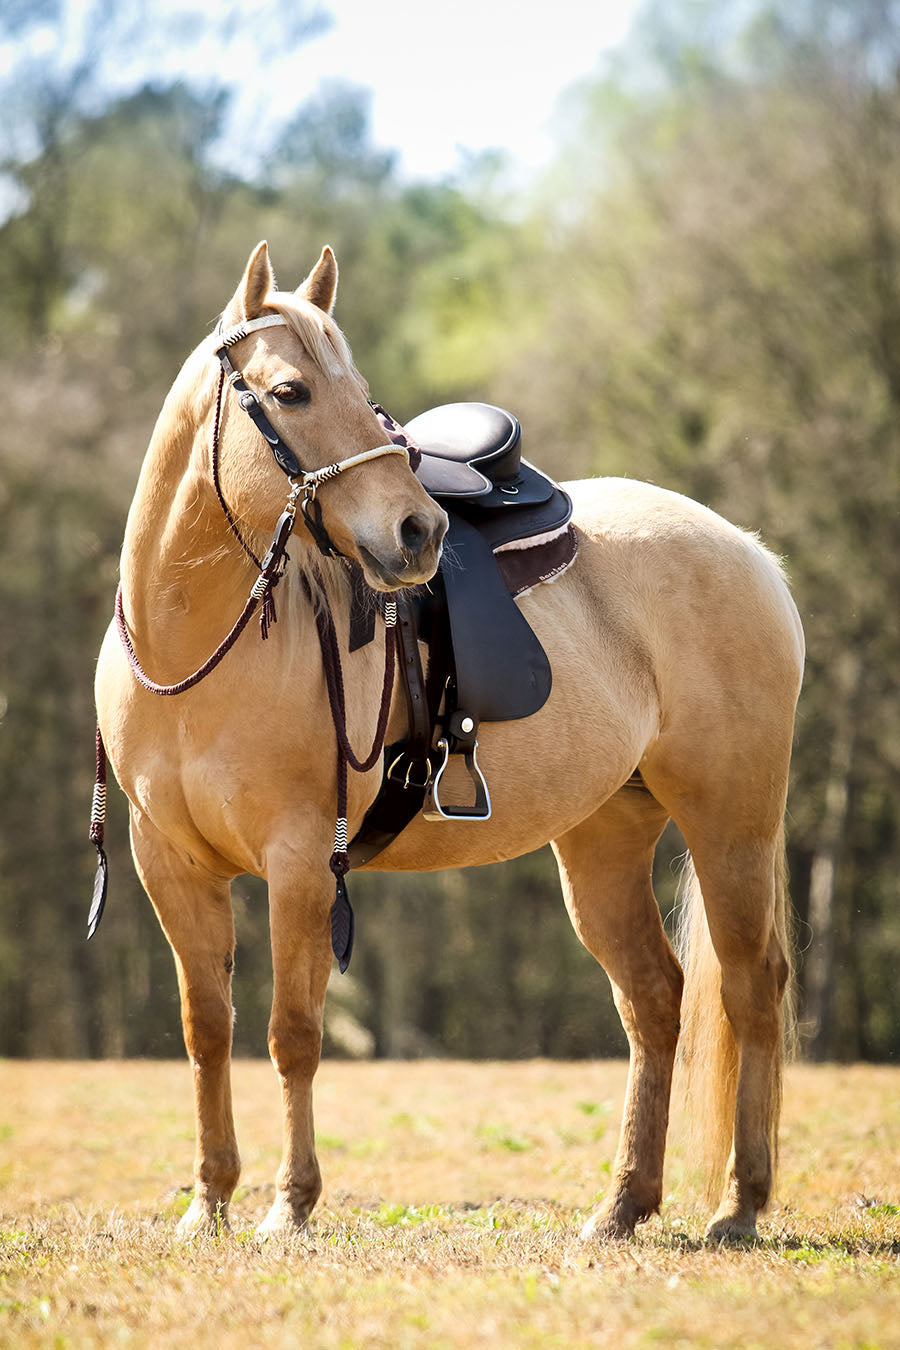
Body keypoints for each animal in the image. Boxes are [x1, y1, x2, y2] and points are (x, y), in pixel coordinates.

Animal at [95, 245, 804, 1242]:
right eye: (291, 391)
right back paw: (622, 1206)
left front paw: (290, 1205)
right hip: (606, 837)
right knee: (655, 1000)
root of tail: (747, 551)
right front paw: (209, 1203)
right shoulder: (171, 863)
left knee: (748, 989)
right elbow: (208, 1030)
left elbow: (291, 1033)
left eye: (362, 391)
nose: (419, 531)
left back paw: (738, 1208)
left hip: (729, 821)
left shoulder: (299, 861)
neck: (194, 650)